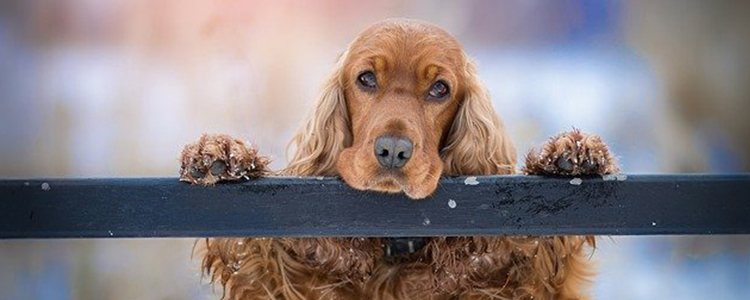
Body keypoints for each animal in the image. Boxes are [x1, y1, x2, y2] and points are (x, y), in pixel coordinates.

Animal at [179, 18, 620, 300]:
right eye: (366, 78)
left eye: (440, 88)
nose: (393, 150)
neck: (396, 243)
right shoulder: (289, 282)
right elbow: (256, 250)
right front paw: (220, 154)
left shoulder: (519, 282)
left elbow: (540, 252)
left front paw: (570, 154)